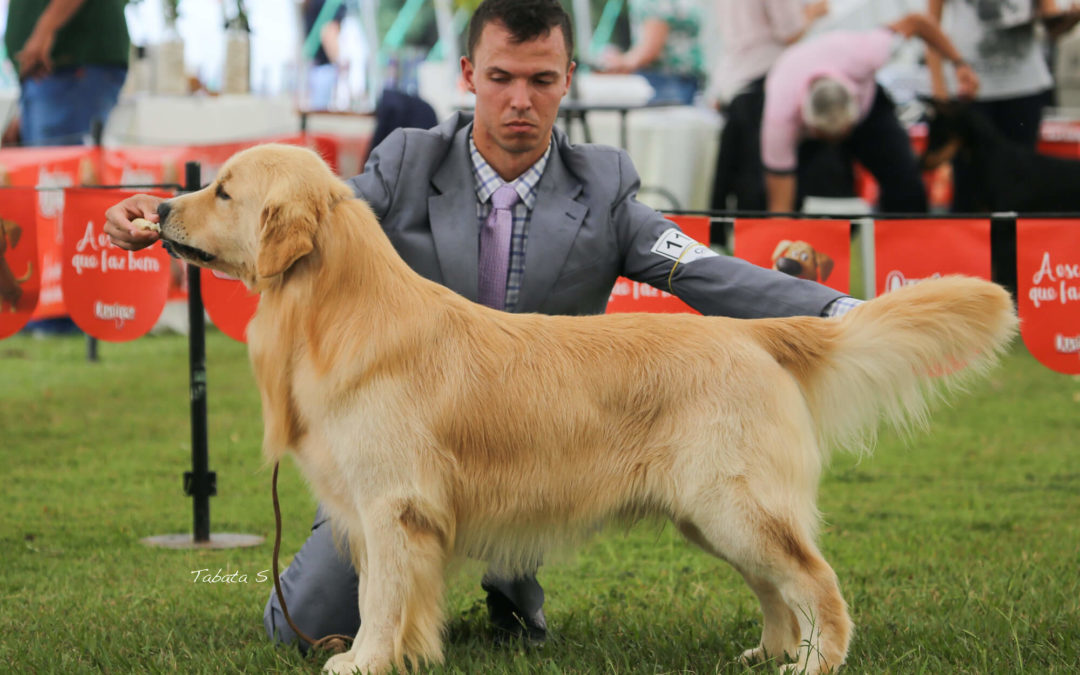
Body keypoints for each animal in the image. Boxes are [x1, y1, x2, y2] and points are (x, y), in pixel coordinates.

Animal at [156, 144, 1015, 669]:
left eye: (222, 190)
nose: (157, 209)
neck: (337, 310)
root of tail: (752, 333)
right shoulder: (379, 514)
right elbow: (395, 599)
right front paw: (405, 653)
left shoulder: (392, 504)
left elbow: (379, 597)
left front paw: (362, 659)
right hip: (711, 515)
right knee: (777, 588)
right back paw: (768, 653)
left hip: (736, 503)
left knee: (817, 582)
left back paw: (814, 661)